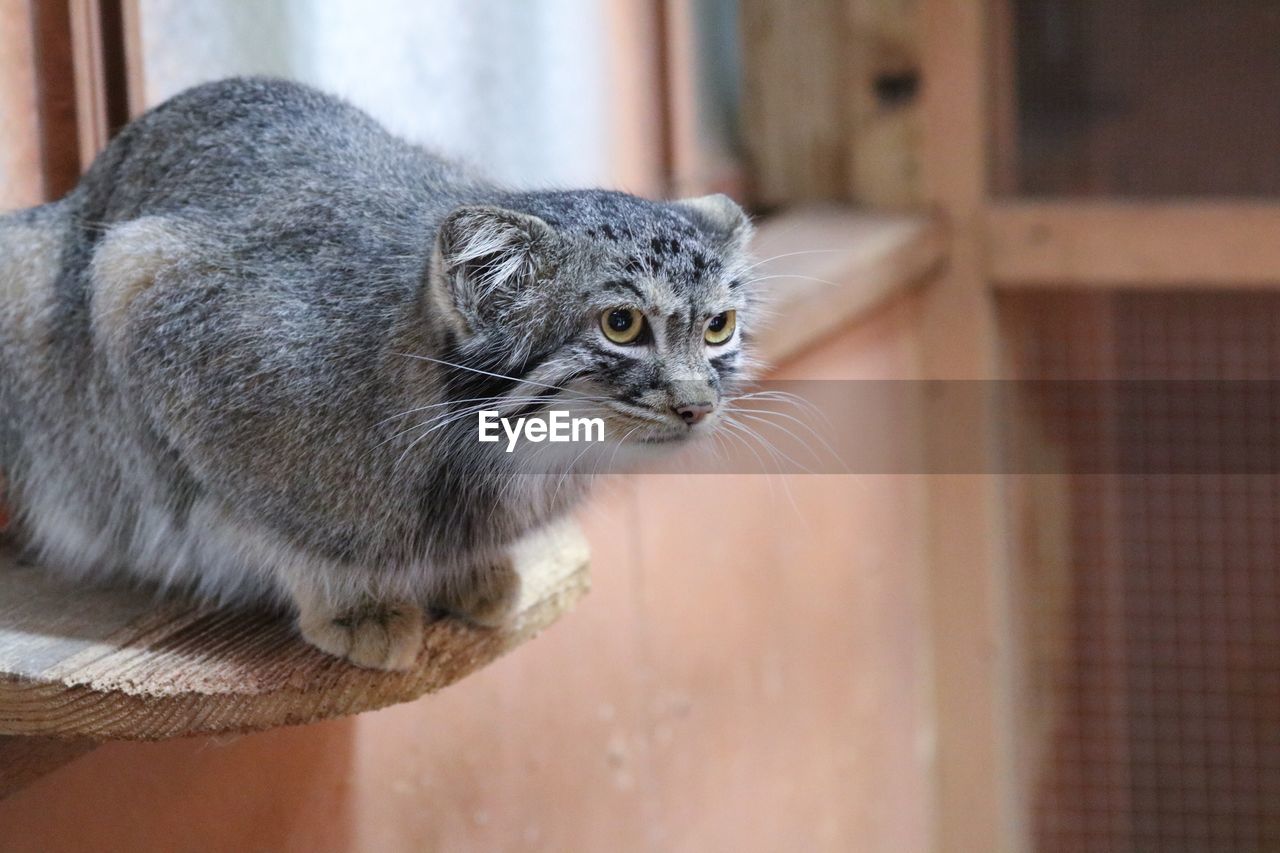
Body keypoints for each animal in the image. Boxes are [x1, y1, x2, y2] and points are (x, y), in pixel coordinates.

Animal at [0, 76, 752, 666]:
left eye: (718, 326)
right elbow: (265, 516)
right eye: (621, 325)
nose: (697, 403)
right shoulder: (141, 280)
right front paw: (351, 601)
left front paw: (468, 569)